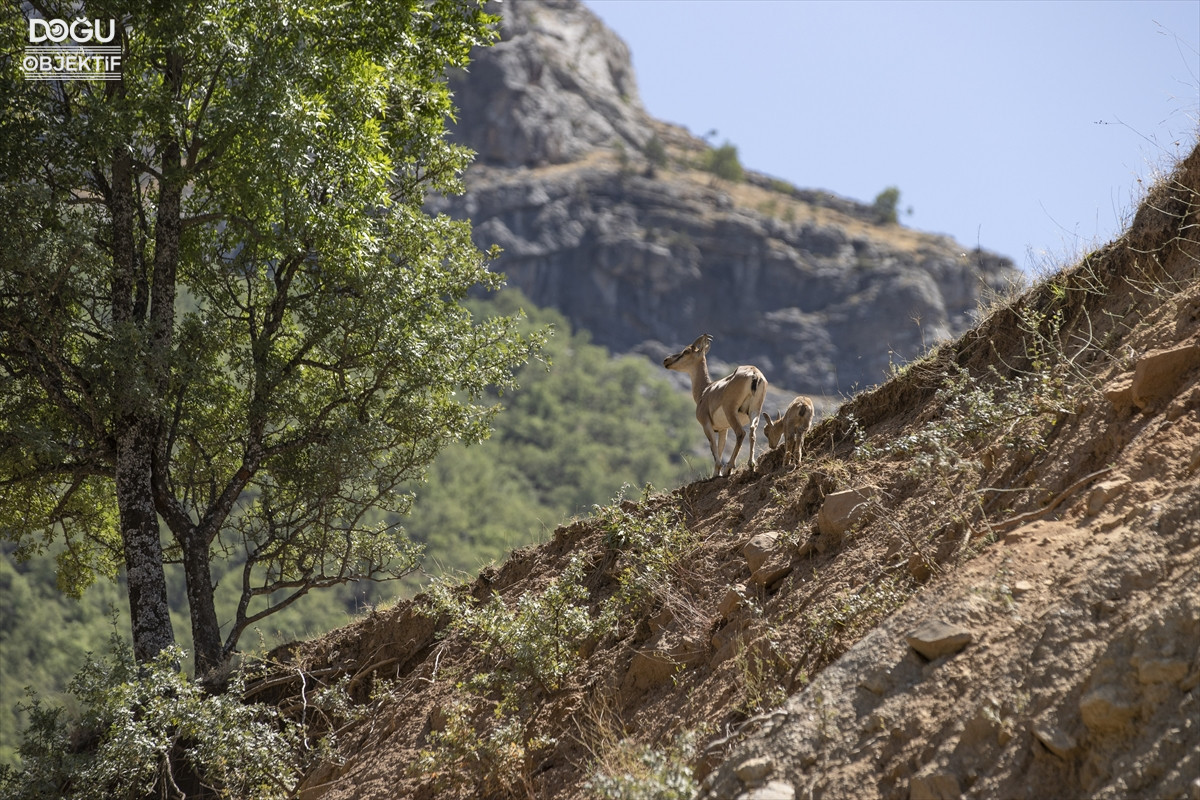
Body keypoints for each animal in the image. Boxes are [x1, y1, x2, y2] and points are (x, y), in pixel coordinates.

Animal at [667, 335, 768, 479]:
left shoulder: (707, 425)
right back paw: (751, 464)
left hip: (731, 411)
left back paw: (729, 468)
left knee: (741, 433)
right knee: (752, 430)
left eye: (686, 351)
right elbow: (720, 447)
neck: (705, 391)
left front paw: (717, 472)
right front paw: (717, 472)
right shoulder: (723, 429)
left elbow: (713, 447)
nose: (666, 360)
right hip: (755, 411)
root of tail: (754, 374)